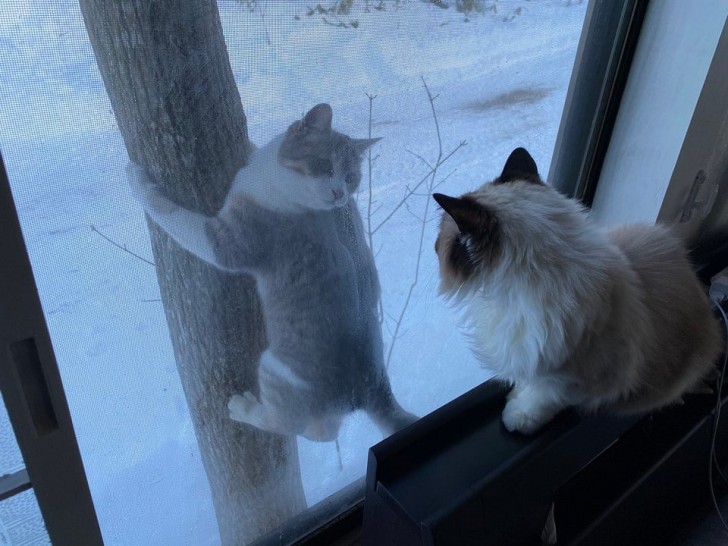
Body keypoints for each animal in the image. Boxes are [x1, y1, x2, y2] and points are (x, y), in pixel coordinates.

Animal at [128, 103, 418, 442]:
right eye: (325, 165)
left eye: (350, 177)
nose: (339, 194)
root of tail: (371, 386)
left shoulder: (228, 242)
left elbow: (170, 213)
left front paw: (137, 181)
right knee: (324, 432)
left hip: (274, 369)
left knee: (282, 423)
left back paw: (244, 409)